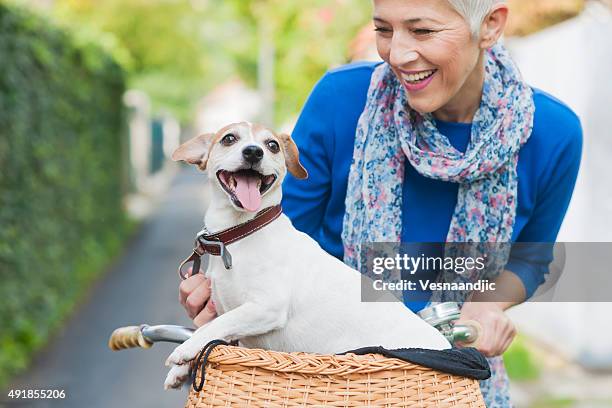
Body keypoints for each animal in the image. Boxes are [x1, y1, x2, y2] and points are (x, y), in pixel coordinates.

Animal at [164, 120, 450, 388]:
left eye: (272, 145)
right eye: (229, 139)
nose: (254, 152)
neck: (238, 234)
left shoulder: (266, 307)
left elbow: (216, 324)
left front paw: (185, 349)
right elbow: (216, 332)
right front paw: (180, 370)